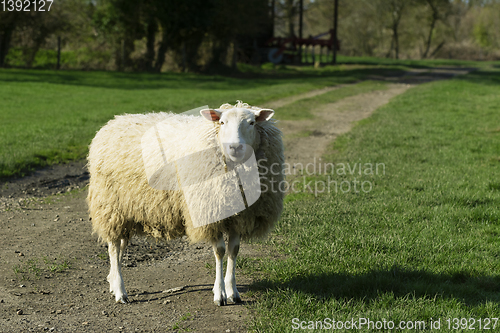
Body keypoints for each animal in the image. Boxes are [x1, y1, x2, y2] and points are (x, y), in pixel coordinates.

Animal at [87, 100, 284, 304]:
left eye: (252, 123)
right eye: (222, 122)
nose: (235, 148)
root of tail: (114, 121)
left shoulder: (241, 216)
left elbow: (234, 250)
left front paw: (232, 291)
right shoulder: (209, 212)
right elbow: (220, 251)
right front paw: (219, 294)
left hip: (128, 211)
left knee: (120, 247)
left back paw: (112, 282)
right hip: (110, 207)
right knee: (113, 247)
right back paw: (120, 291)